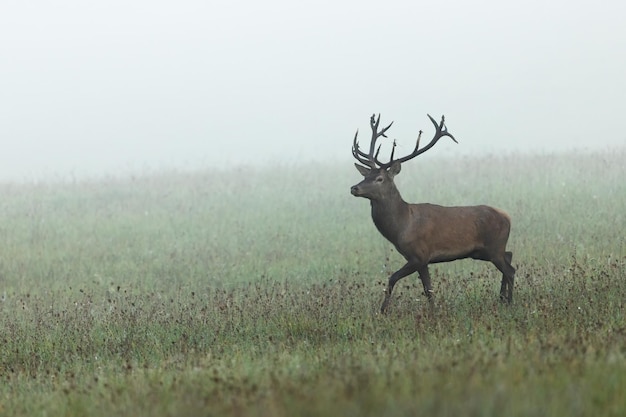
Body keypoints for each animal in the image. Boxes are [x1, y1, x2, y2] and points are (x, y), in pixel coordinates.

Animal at [348, 114, 516, 312]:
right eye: (365, 176)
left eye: (379, 178)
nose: (354, 188)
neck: (401, 227)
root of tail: (507, 216)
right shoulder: (421, 259)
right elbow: (428, 288)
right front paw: (434, 310)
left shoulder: (419, 254)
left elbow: (394, 278)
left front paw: (382, 311)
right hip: (485, 251)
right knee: (509, 256)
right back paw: (501, 298)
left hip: (494, 247)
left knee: (511, 270)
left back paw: (510, 302)